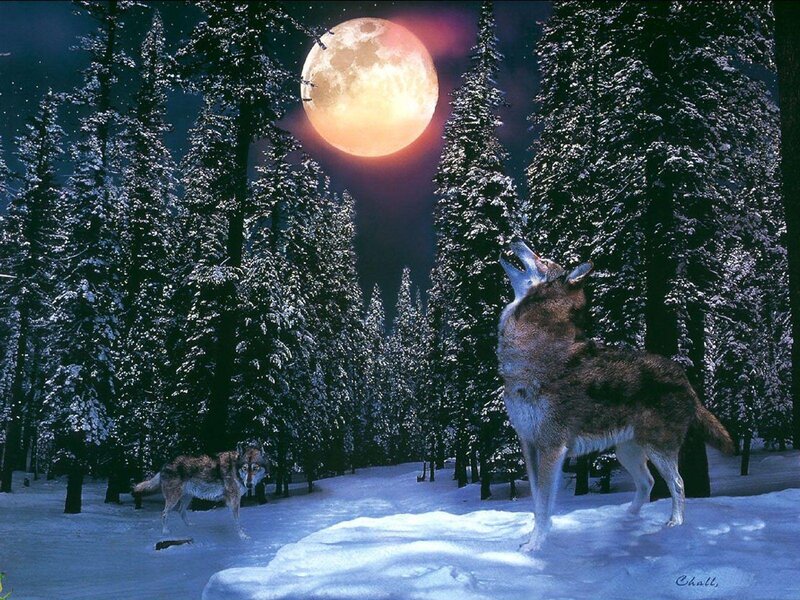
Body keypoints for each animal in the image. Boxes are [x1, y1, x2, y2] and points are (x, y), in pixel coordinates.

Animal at [132, 445, 268, 539]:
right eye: (245, 468)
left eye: (255, 468)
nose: (249, 485)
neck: (235, 469)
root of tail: (164, 465)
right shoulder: (234, 501)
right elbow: (237, 521)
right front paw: (243, 536)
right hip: (174, 498)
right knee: (164, 513)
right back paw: (166, 532)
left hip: (187, 498)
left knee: (181, 511)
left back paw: (191, 527)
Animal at [497, 238, 733, 552]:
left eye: (543, 259)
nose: (515, 240)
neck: (532, 348)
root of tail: (685, 380)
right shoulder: (530, 446)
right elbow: (536, 502)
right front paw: (534, 539)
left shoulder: (551, 448)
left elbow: (544, 504)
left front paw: (535, 547)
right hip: (627, 452)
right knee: (647, 483)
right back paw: (625, 521)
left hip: (658, 450)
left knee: (678, 484)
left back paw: (674, 525)